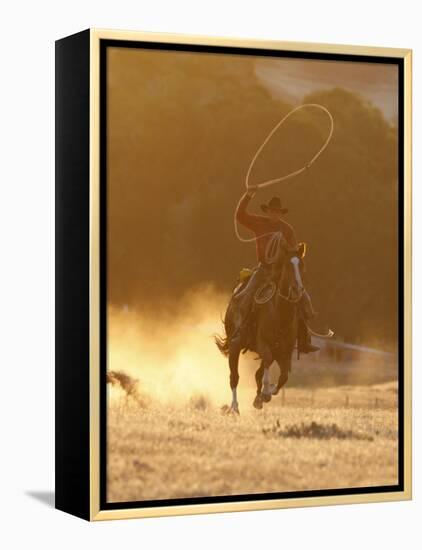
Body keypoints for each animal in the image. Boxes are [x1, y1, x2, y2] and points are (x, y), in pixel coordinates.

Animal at [216, 236, 304, 414]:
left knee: (257, 372)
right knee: (234, 377)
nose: (297, 289)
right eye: (287, 265)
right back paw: (234, 407)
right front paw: (265, 392)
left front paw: (264, 395)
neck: (280, 314)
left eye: (302, 265)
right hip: (235, 346)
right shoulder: (263, 344)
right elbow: (268, 362)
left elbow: (283, 376)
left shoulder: (285, 352)